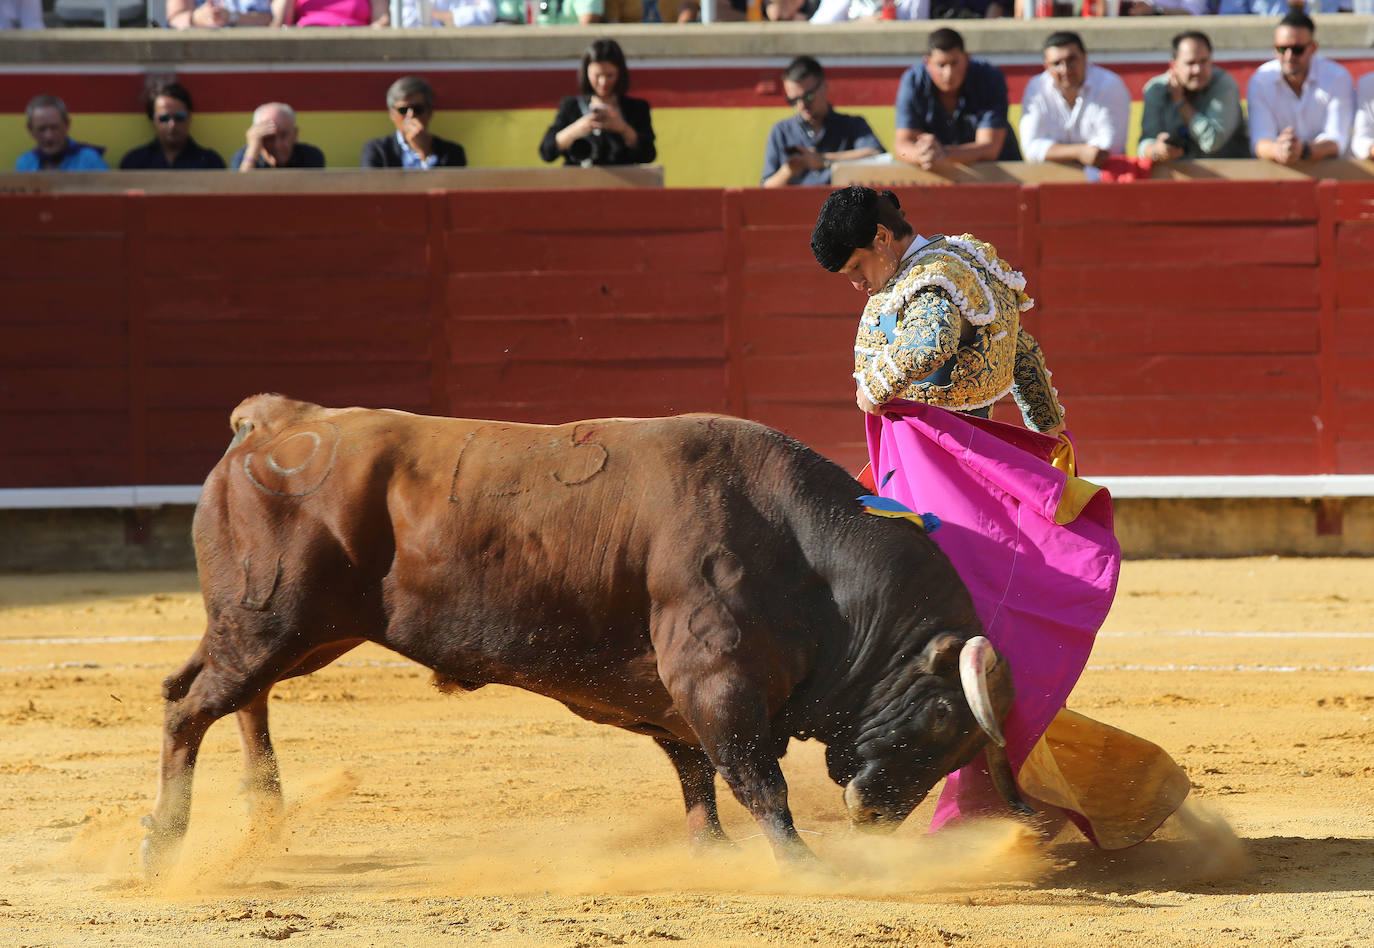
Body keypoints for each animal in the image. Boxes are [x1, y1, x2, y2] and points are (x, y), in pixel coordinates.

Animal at [142, 392, 1022, 873]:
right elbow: (751, 777)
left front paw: (711, 850)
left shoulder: (674, 690)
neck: (804, 553)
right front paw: (806, 865)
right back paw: (166, 841)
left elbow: (695, 772)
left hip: (297, 631)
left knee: (230, 695)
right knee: (190, 704)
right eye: (939, 719)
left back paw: (263, 811)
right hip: (273, 618)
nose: (873, 815)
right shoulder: (715, 676)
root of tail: (277, 422)